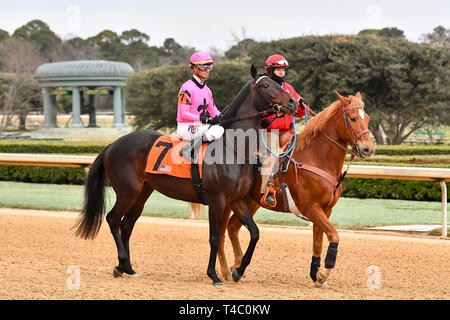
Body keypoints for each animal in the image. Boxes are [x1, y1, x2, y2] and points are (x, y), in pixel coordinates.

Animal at [73, 65, 298, 284]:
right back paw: (120, 264)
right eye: (266, 85)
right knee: (112, 219)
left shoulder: (237, 200)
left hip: (142, 192)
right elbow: (214, 238)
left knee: (126, 225)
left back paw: (128, 268)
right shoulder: (217, 200)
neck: (233, 148)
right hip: (128, 191)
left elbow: (255, 233)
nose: (293, 102)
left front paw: (238, 271)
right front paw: (214, 275)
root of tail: (112, 145)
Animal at [213, 90, 374, 288]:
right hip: (229, 202)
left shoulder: (325, 210)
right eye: (352, 118)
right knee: (222, 232)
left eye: (366, 118)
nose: (368, 149)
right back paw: (227, 270)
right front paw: (323, 274)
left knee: (232, 228)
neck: (316, 157)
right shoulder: (311, 208)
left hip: (251, 202)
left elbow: (318, 242)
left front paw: (316, 274)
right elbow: (334, 236)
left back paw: (236, 267)